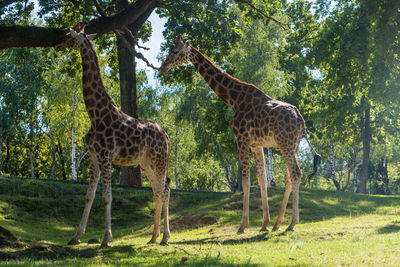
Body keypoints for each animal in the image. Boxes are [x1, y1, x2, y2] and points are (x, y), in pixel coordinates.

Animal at [54, 24, 170, 248]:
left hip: (160, 160)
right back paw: (154, 236)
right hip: (146, 163)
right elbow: (89, 195)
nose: (57, 44)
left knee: (165, 189)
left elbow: (107, 196)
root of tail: (168, 138)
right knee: (157, 191)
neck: (95, 114)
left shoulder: (105, 157)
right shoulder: (93, 157)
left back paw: (166, 237)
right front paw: (76, 236)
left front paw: (106, 238)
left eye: (69, 36)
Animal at [161, 35, 320, 232]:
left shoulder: (241, 139)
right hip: (294, 145)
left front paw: (243, 225)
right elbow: (262, 180)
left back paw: (292, 223)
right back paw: (278, 224)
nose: (163, 67)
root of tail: (301, 120)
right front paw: (264, 224)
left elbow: (245, 181)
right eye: (169, 49)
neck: (234, 100)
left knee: (296, 173)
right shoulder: (257, 144)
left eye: (175, 51)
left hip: (285, 144)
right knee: (290, 177)